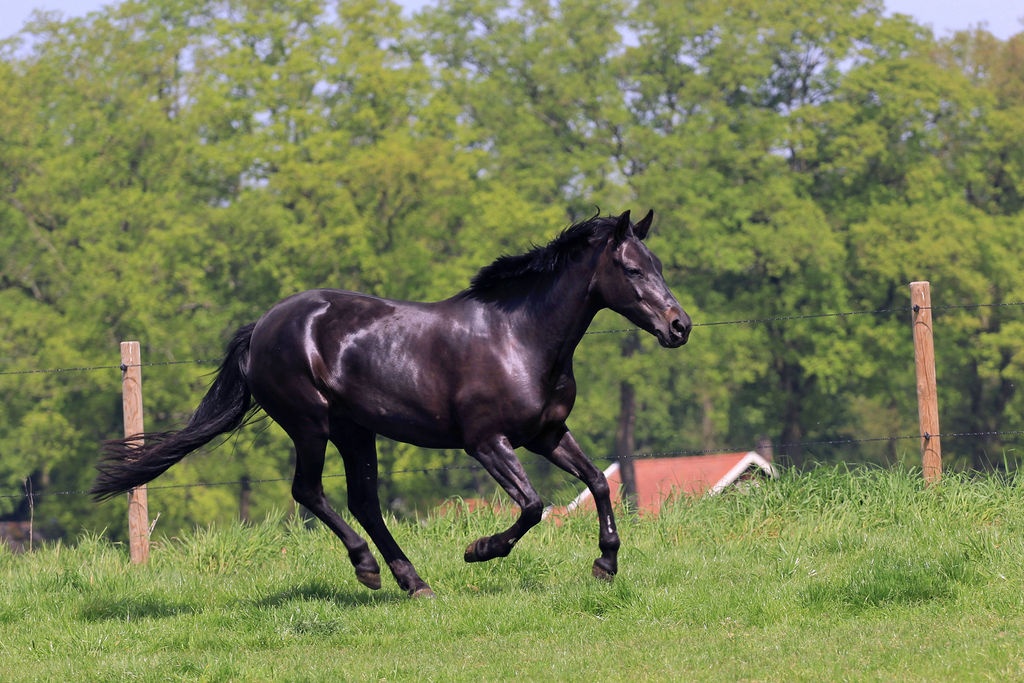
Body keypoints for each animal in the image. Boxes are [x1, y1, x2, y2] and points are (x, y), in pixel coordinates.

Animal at [93, 209, 691, 597]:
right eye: (633, 269)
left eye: (659, 264)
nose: (679, 326)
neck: (519, 338)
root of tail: (264, 324)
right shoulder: (486, 443)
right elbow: (531, 505)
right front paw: (478, 550)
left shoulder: (546, 434)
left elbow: (597, 483)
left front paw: (605, 564)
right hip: (311, 425)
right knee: (310, 492)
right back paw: (369, 569)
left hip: (356, 432)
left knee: (364, 502)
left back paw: (413, 581)